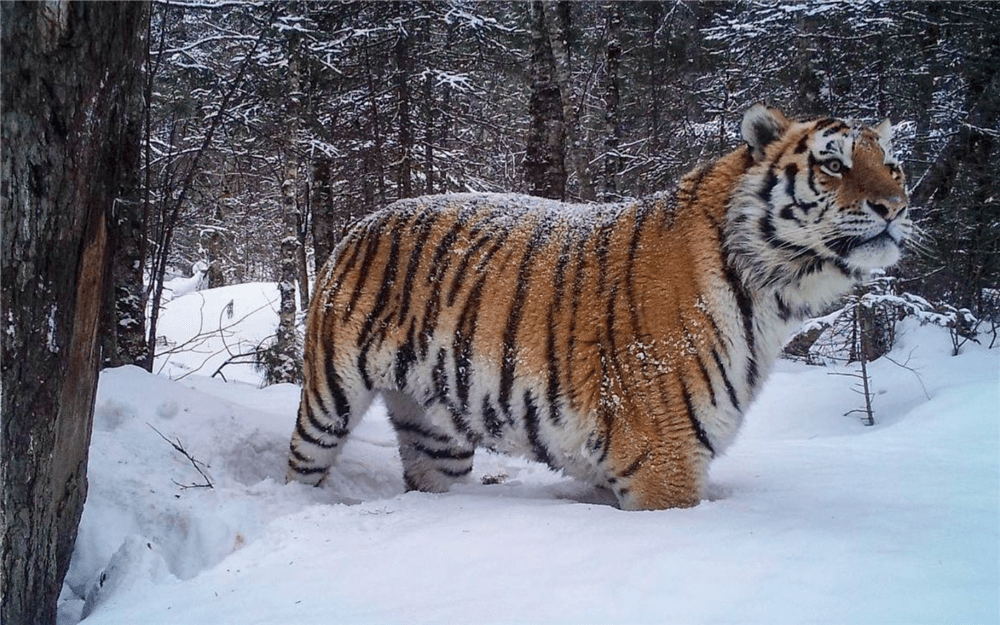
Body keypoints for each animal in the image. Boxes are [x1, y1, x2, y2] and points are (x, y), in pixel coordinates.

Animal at [286, 105, 912, 510]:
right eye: (833, 164)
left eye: (893, 165)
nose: (896, 206)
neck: (772, 292)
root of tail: (358, 226)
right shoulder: (665, 460)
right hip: (328, 399)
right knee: (302, 464)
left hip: (433, 431)